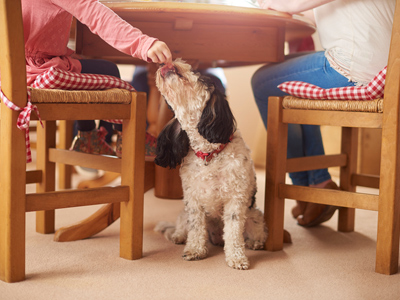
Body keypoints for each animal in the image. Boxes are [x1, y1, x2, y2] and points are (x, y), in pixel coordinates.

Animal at [155, 58, 268, 270]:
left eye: (200, 76)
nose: (169, 62)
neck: (210, 154)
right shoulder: (193, 200)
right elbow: (196, 229)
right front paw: (195, 250)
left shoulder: (235, 200)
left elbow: (233, 233)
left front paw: (237, 258)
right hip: (184, 214)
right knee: (182, 227)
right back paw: (177, 236)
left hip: (253, 215)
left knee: (251, 231)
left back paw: (254, 242)